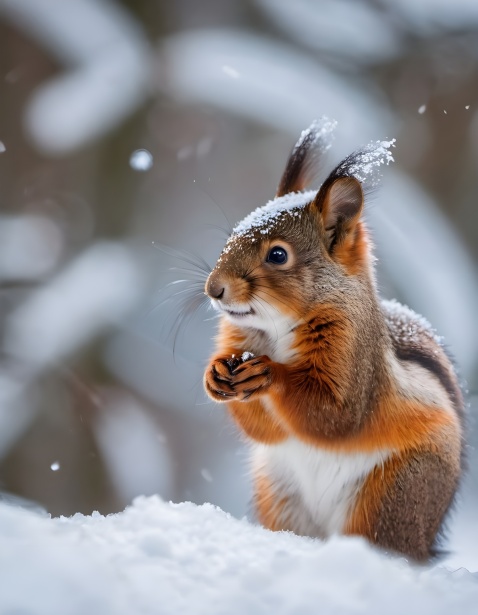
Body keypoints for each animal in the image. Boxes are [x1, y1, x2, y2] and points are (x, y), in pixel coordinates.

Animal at [204, 120, 464, 564]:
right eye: (231, 236)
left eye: (278, 255)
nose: (213, 289)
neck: (277, 329)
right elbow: (265, 430)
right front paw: (215, 374)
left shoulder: (353, 357)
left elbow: (336, 415)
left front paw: (271, 375)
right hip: (279, 493)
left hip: (394, 492)